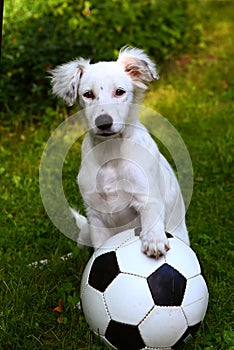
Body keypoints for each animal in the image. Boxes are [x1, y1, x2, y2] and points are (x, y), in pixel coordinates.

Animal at [49, 46, 190, 258]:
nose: (103, 123)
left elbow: (151, 218)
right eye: (88, 94)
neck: (111, 152)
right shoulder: (96, 215)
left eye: (119, 92)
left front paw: (154, 241)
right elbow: (99, 248)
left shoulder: (147, 196)